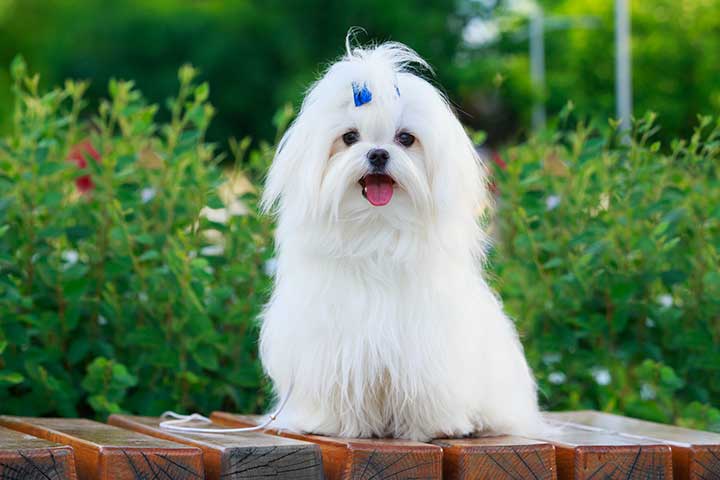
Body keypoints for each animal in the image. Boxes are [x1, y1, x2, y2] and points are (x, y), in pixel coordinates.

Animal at [256, 39, 544, 440]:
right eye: (349, 138)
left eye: (405, 139)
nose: (378, 153)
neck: (377, 230)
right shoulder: (330, 342)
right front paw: (331, 423)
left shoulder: (427, 346)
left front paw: (434, 426)